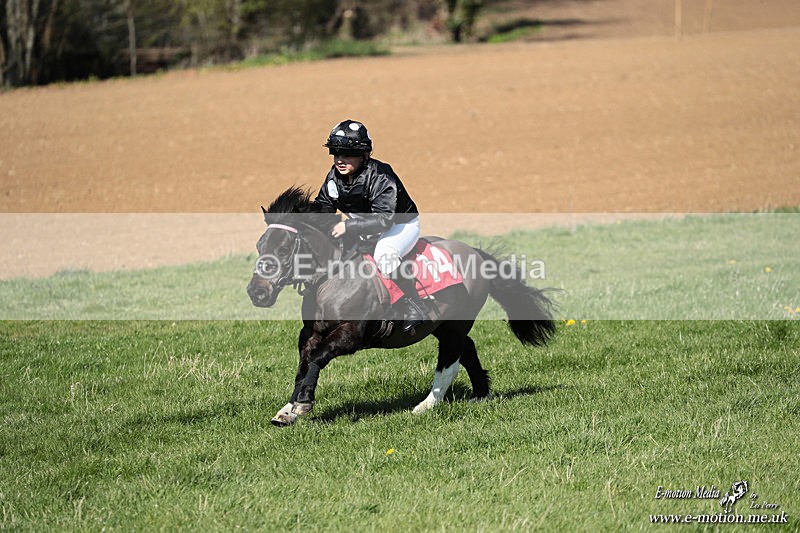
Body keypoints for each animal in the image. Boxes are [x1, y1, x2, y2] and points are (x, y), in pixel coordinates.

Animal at [246, 187, 556, 426]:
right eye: (260, 246)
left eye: (283, 249)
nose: (257, 292)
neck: (332, 278)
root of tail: (475, 254)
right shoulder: (310, 333)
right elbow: (304, 363)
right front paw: (288, 410)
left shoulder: (351, 335)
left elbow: (316, 359)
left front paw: (302, 405)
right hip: (440, 324)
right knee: (467, 350)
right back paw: (481, 393)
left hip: (455, 325)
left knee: (450, 361)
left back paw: (425, 405)